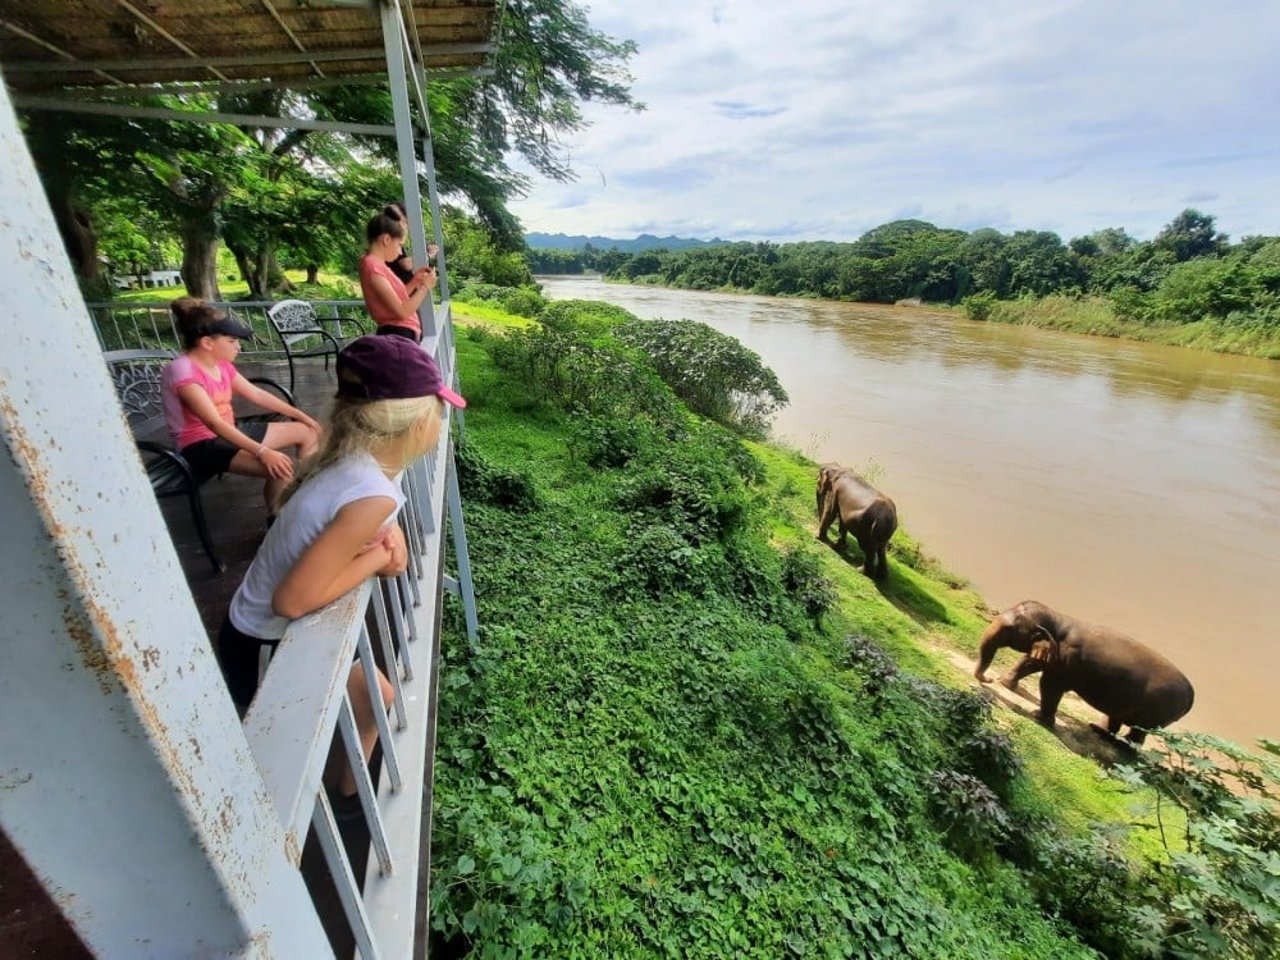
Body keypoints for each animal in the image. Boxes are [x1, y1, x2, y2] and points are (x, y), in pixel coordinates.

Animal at [972, 601, 1192, 742]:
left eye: (1009, 630)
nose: (988, 679)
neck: (1059, 617)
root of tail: (1192, 698)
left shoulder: (1069, 659)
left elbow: (1049, 685)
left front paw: (1037, 716)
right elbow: (1030, 662)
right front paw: (1005, 682)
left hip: (1158, 711)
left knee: (1139, 731)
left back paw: (1123, 744)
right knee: (1117, 717)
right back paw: (1096, 729)